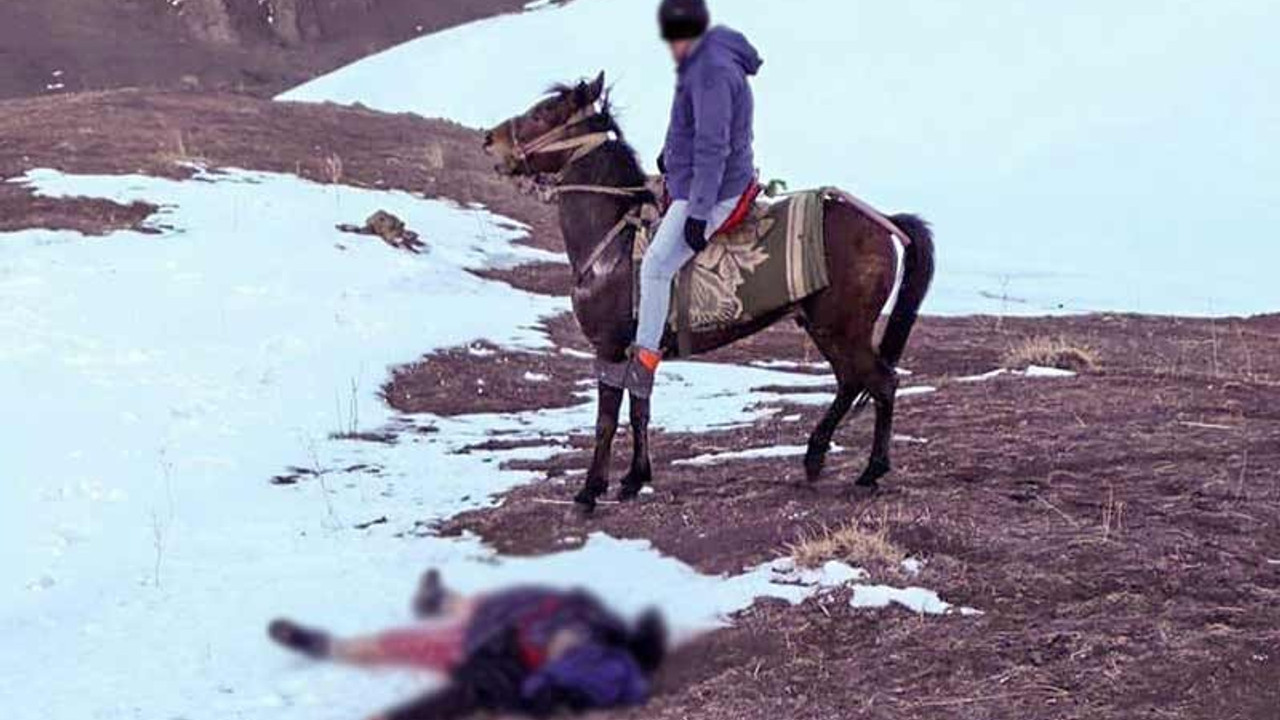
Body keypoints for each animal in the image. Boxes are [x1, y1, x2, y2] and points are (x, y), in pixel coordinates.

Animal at [483, 73, 936, 507]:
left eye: (544, 112)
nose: (489, 139)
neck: (613, 242)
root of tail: (881, 221)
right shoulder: (638, 348)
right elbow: (639, 409)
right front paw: (634, 479)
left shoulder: (609, 348)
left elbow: (606, 421)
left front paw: (591, 490)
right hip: (826, 328)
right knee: (851, 382)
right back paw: (814, 458)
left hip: (842, 328)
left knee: (881, 382)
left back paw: (871, 471)